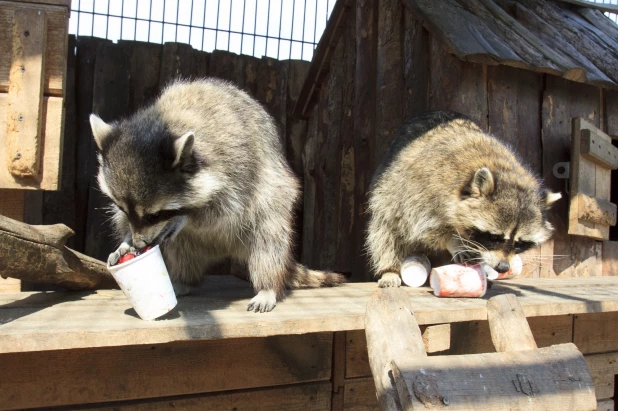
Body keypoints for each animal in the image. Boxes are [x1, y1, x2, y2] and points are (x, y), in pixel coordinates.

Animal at [89, 79, 344, 312]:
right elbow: (124, 221)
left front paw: (185, 217)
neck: (167, 120)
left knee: (268, 236)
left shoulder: (238, 167)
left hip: (274, 198)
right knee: (182, 251)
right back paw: (185, 281)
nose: (140, 243)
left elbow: (225, 210)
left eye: (154, 216)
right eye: (123, 208)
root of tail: (226, 250)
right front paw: (125, 241)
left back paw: (267, 286)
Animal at [364, 111, 560, 288]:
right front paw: (453, 241)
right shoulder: (423, 189)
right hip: (388, 190)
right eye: (494, 237)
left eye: (520, 244)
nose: (503, 267)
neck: (503, 171)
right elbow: (424, 226)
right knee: (386, 230)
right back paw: (389, 269)